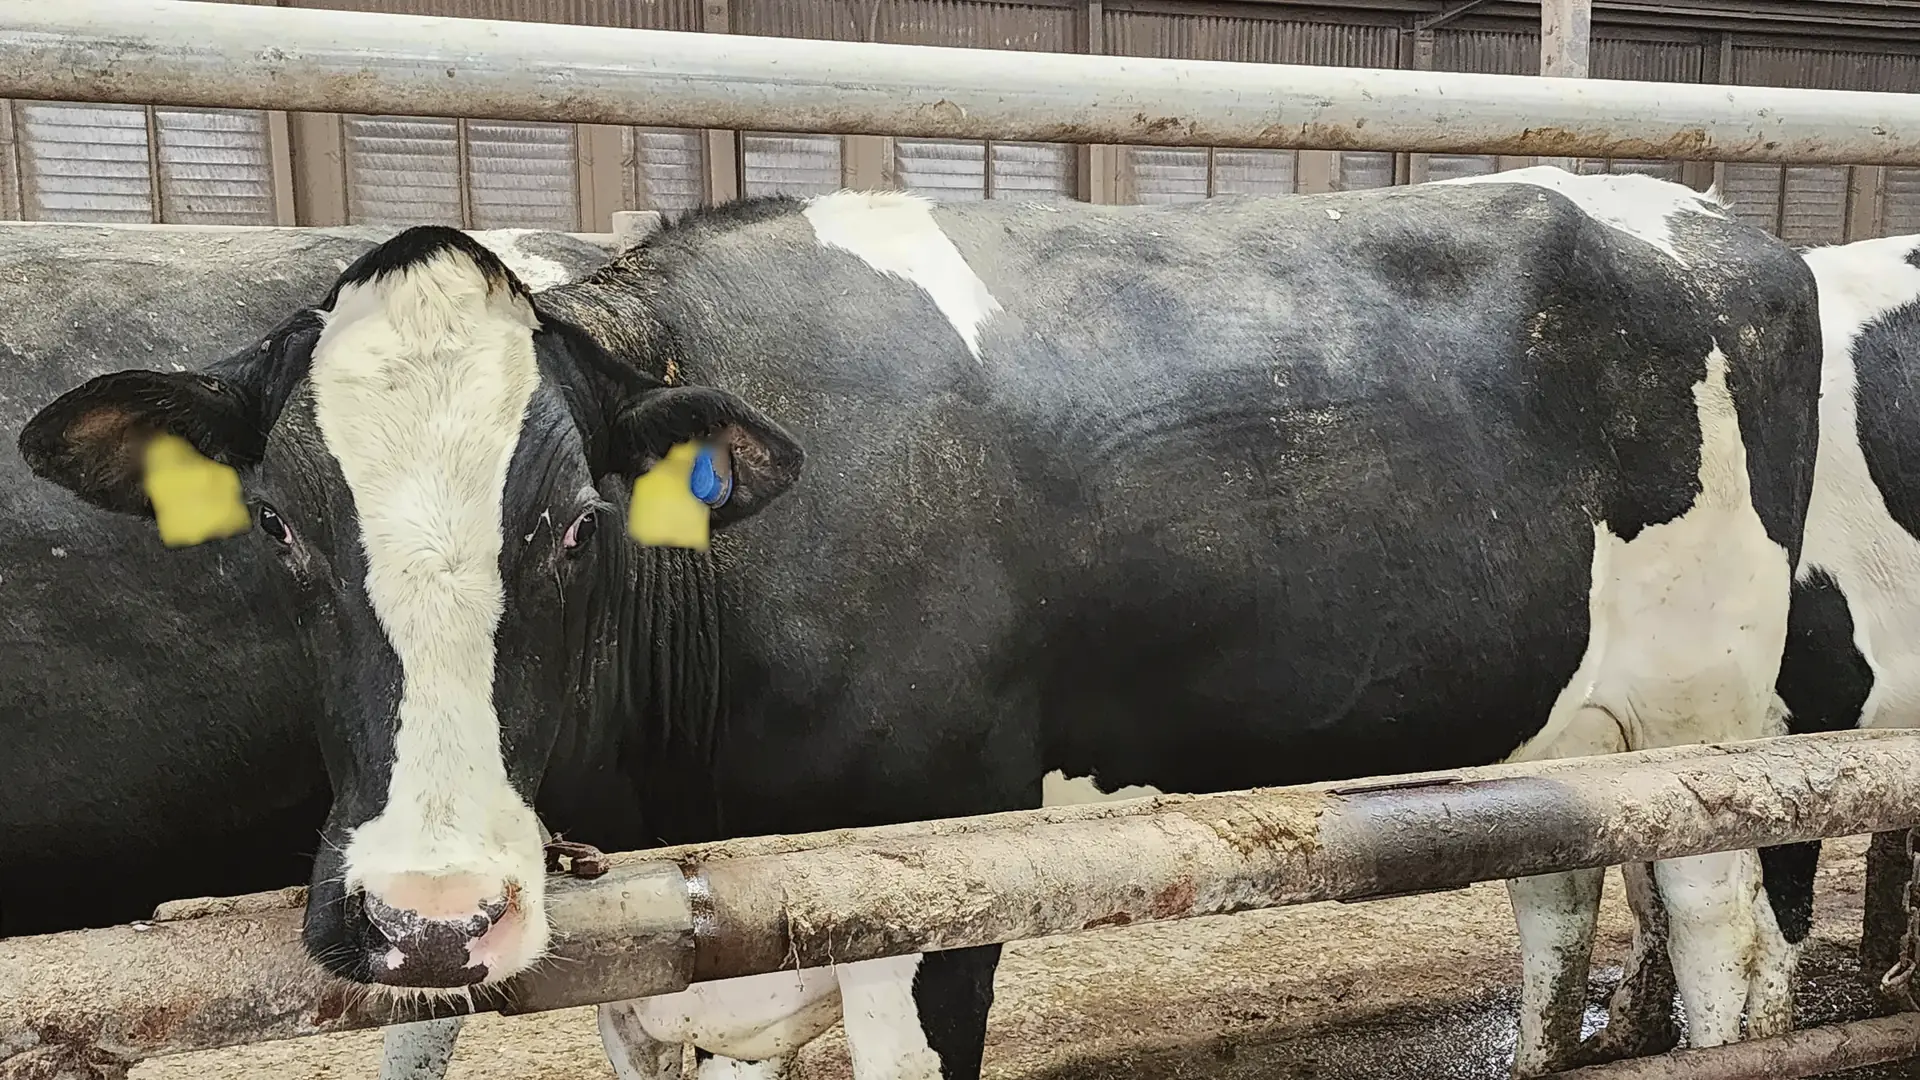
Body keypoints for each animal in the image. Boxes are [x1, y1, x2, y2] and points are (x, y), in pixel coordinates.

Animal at [17, 168, 1823, 1078]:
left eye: (575, 524)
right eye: (277, 527)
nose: (427, 918)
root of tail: (1727, 221)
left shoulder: (936, 890)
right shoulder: (680, 971)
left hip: (1712, 725)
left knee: (1732, 955)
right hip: (1559, 726)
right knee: (1553, 892)